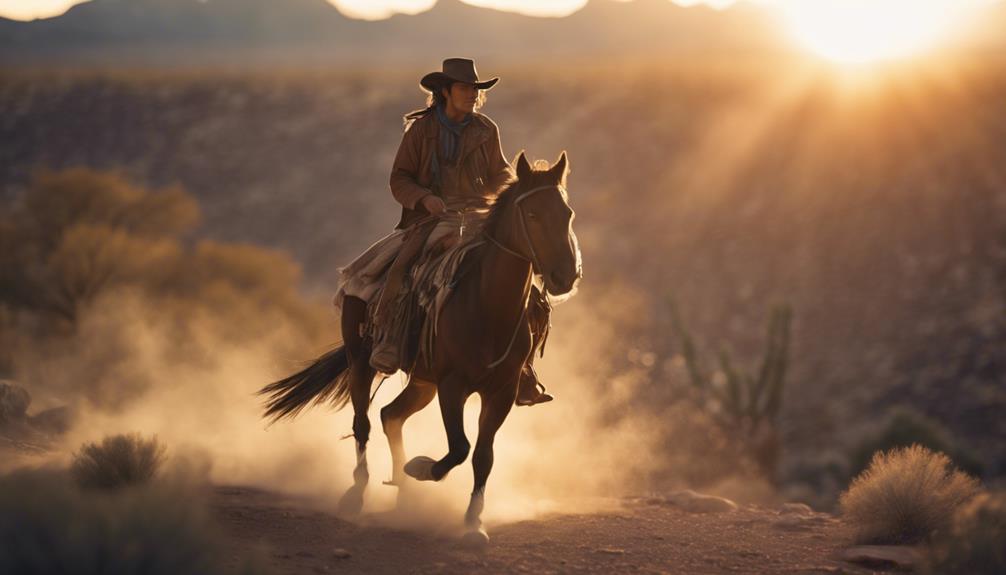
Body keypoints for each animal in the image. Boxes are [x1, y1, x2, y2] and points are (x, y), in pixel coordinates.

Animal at [259, 149, 579, 542]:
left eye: (567, 214)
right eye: (532, 214)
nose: (566, 275)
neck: (485, 305)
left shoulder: (501, 391)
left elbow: (482, 456)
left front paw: (473, 523)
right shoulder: (452, 386)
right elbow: (459, 447)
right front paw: (422, 468)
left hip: (423, 382)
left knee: (390, 415)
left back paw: (403, 493)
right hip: (362, 361)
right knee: (364, 422)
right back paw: (358, 493)